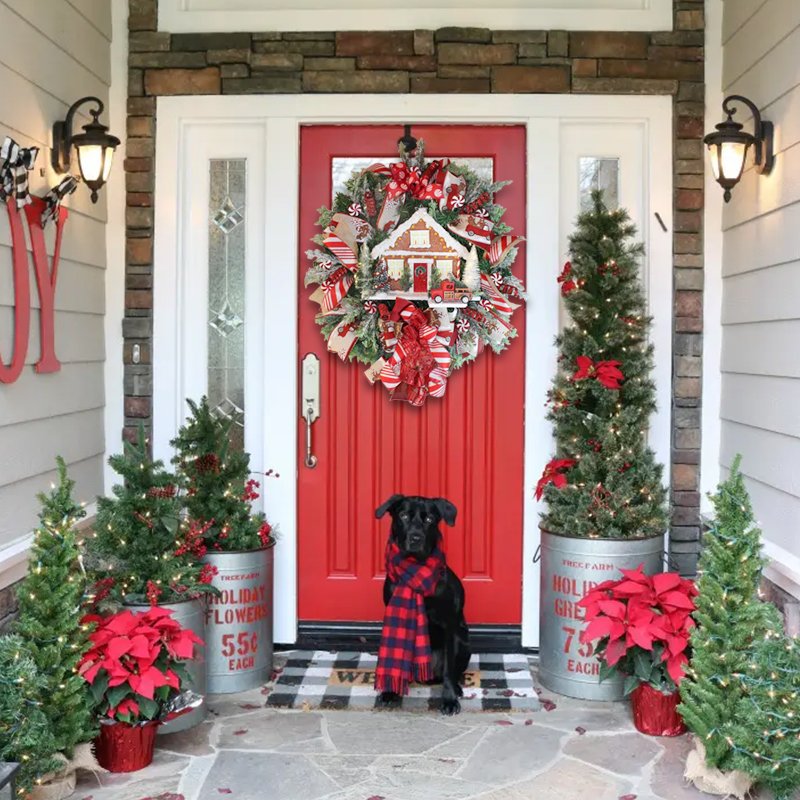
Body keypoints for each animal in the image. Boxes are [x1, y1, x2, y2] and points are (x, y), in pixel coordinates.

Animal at [376, 494, 468, 712]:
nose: (415, 538)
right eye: (403, 516)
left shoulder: (449, 625)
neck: (415, 568)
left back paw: (456, 687)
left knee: (452, 671)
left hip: (462, 640)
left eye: (429, 519)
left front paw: (449, 699)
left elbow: (449, 668)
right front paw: (390, 692)